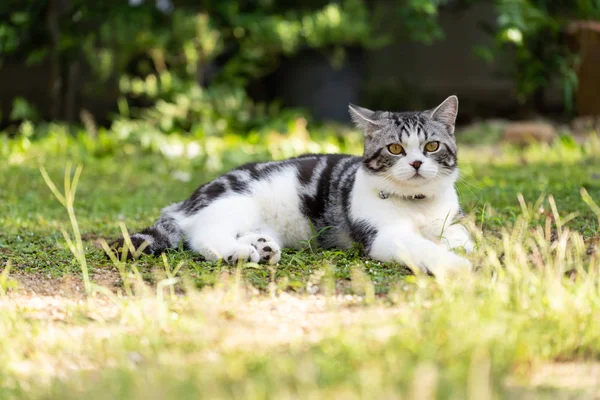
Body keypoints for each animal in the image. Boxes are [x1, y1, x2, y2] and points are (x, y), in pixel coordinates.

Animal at [113, 95, 474, 276]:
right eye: (395, 149)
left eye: (431, 146)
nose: (416, 164)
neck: (417, 203)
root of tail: (185, 203)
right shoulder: (383, 236)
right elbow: (423, 248)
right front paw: (454, 265)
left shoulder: (451, 221)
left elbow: (462, 238)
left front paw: (459, 250)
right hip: (235, 201)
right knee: (203, 235)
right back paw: (238, 252)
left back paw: (262, 246)